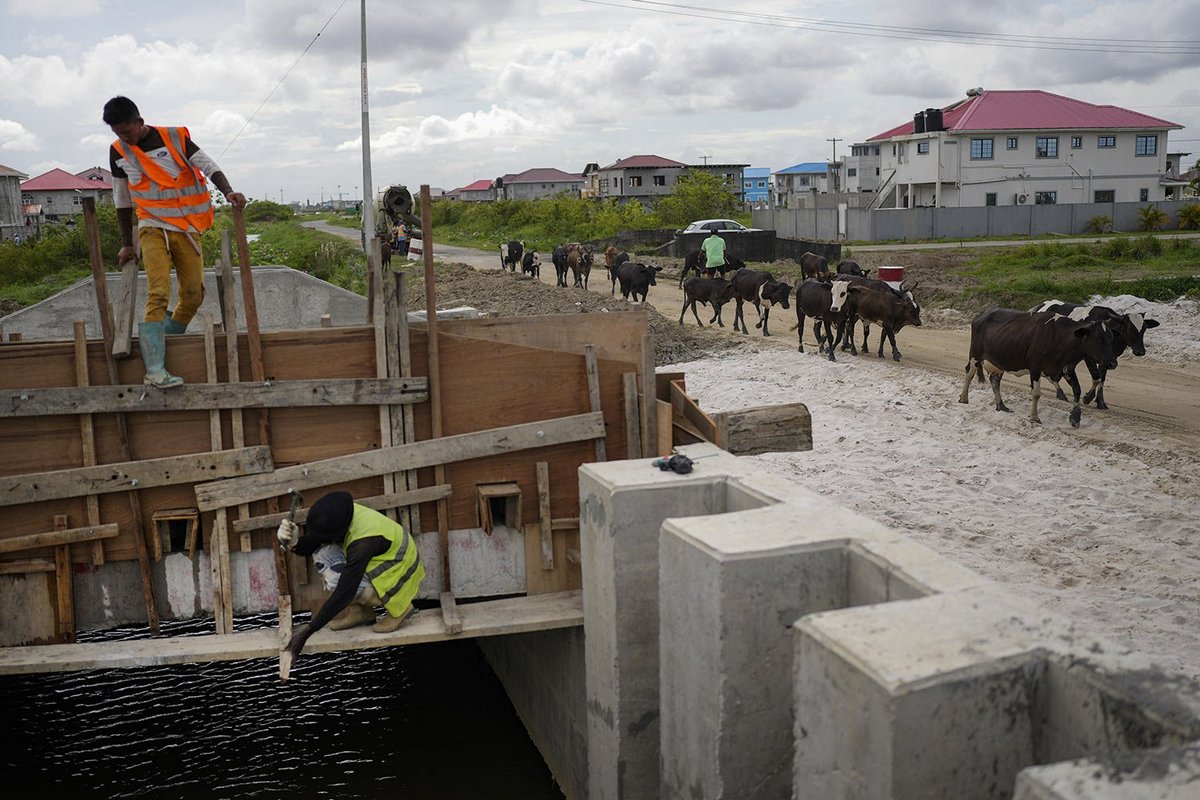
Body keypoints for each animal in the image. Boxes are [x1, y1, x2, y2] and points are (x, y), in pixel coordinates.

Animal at [960, 307, 1118, 429]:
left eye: (1111, 337)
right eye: (1099, 339)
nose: (1113, 363)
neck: (1059, 337)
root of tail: (983, 313)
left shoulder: (1065, 368)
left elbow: (1077, 390)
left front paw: (1075, 417)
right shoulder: (1035, 367)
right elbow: (1036, 393)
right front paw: (1034, 417)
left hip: (998, 361)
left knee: (995, 380)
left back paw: (1001, 405)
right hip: (975, 354)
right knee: (969, 372)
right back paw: (964, 398)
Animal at [1032, 302, 1161, 412]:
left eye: (1144, 329)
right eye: (1129, 328)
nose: (1140, 351)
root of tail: (1039, 306)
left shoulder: (1109, 359)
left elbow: (1102, 379)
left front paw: (1100, 402)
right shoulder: (1088, 356)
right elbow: (1096, 376)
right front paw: (1088, 397)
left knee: (1064, 370)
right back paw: (1060, 392)